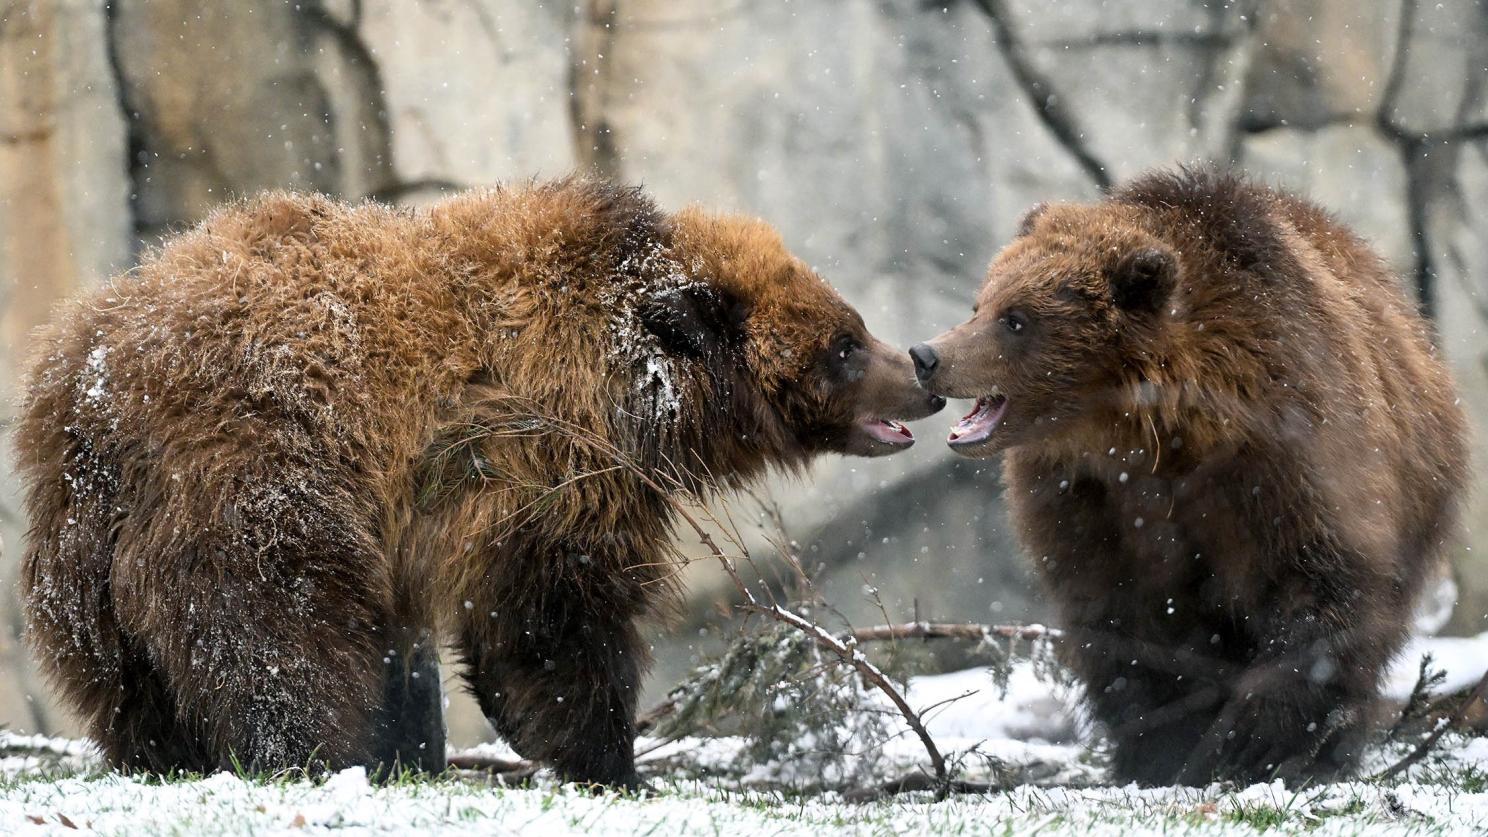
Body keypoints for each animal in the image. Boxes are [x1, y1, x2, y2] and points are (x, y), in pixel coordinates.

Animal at [16, 176, 944, 787]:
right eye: (846, 344)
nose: (924, 373)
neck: (637, 382)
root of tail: (89, 379)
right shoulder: (543, 457)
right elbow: (552, 611)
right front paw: (606, 755)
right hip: (254, 471)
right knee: (273, 625)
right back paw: (307, 752)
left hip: (80, 537)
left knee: (123, 668)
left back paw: (167, 753)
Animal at [908, 167, 1467, 787]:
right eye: (980, 302)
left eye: (1016, 318)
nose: (926, 354)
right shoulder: (1086, 496)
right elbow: (1125, 621)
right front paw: (1161, 749)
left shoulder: (1290, 456)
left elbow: (1322, 586)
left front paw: (1262, 745)